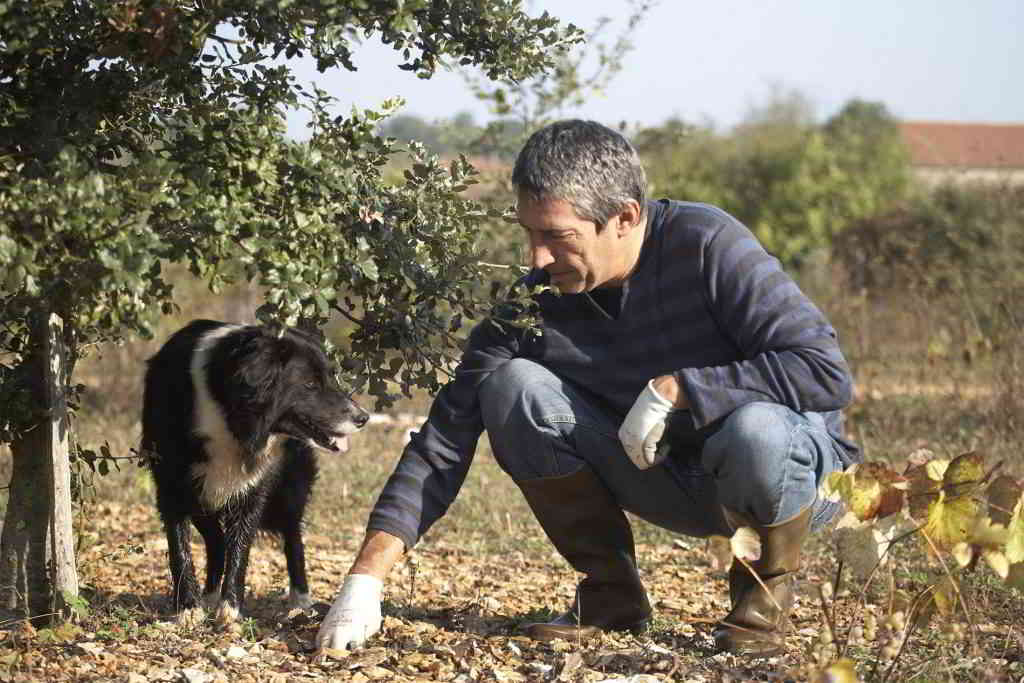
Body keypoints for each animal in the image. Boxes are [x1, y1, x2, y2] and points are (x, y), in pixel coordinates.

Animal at [141, 323, 368, 626]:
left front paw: (231, 610)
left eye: (332, 377)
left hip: (286, 491)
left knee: (292, 536)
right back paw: (208, 596)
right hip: (202, 496)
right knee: (216, 540)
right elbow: (180, 548)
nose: (363, 418)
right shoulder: (172, 483)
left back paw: (300, 600)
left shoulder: (255, 484)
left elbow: (242, 543)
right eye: (310, 384)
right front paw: (188, 608)